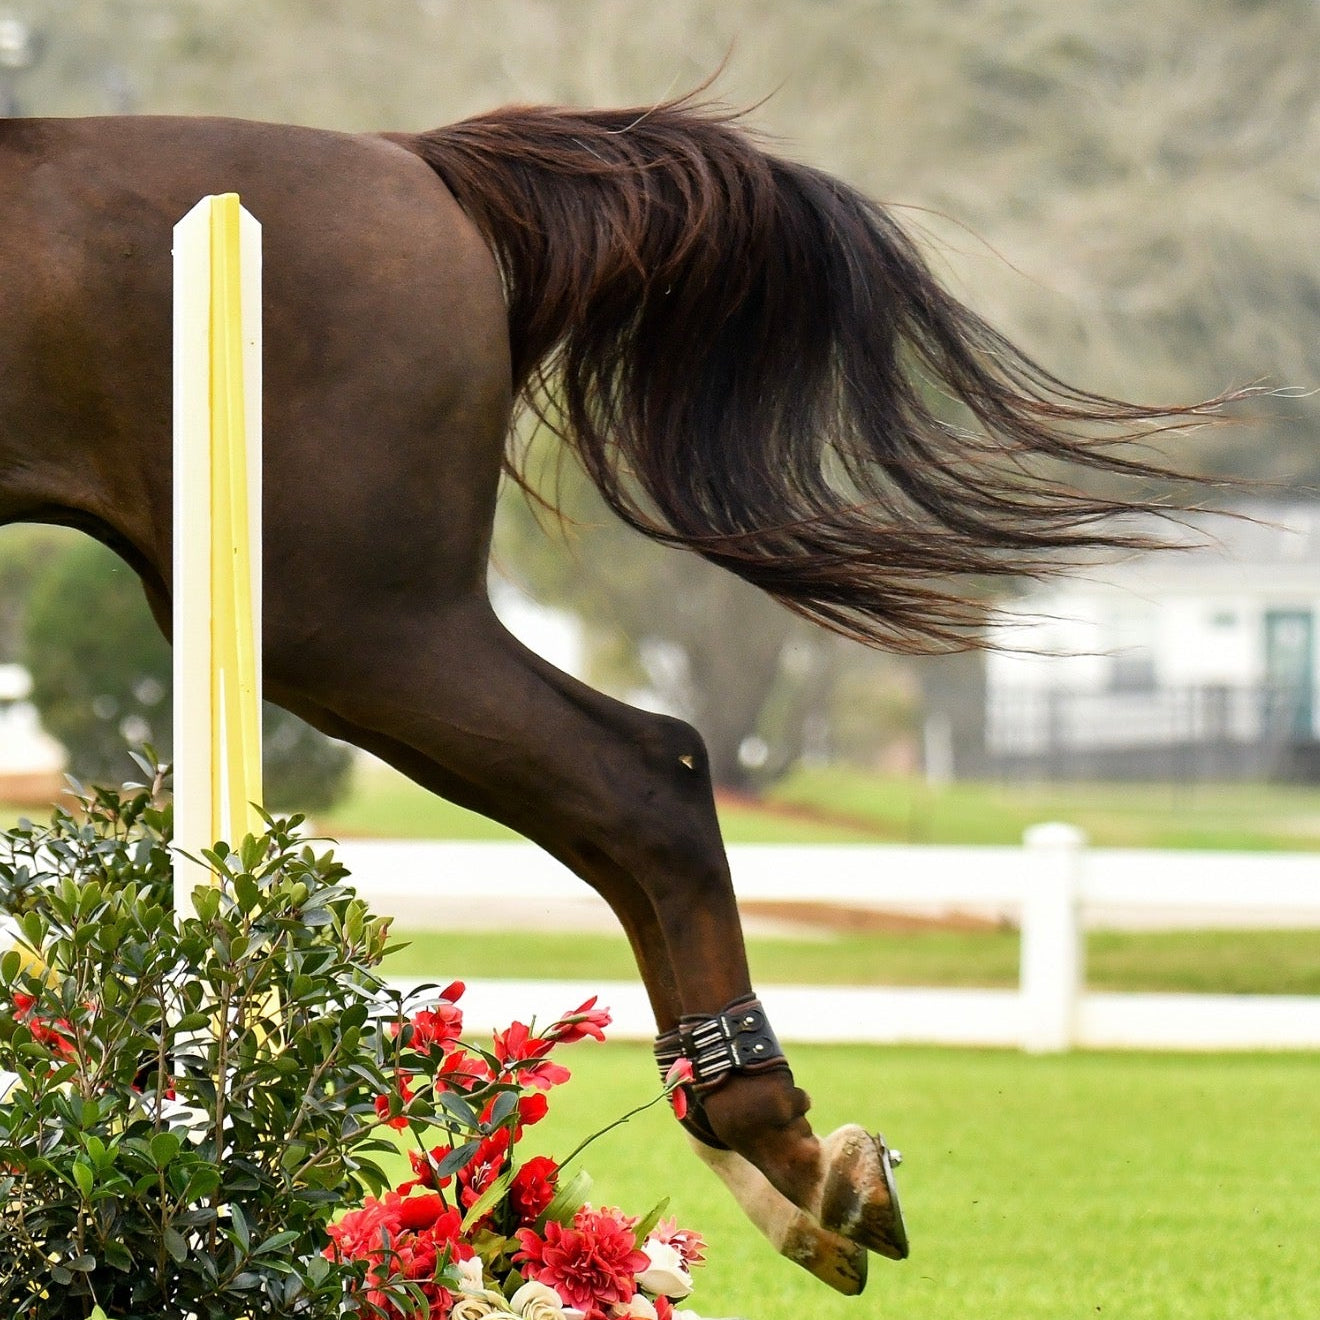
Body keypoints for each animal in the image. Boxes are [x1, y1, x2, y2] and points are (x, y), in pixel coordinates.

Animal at [0, 95, 1236, 1294]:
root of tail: (417, 163)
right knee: (627, 802)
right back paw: (763, 1157)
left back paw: (785, 1153)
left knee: (647, 776)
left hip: (351, 614)